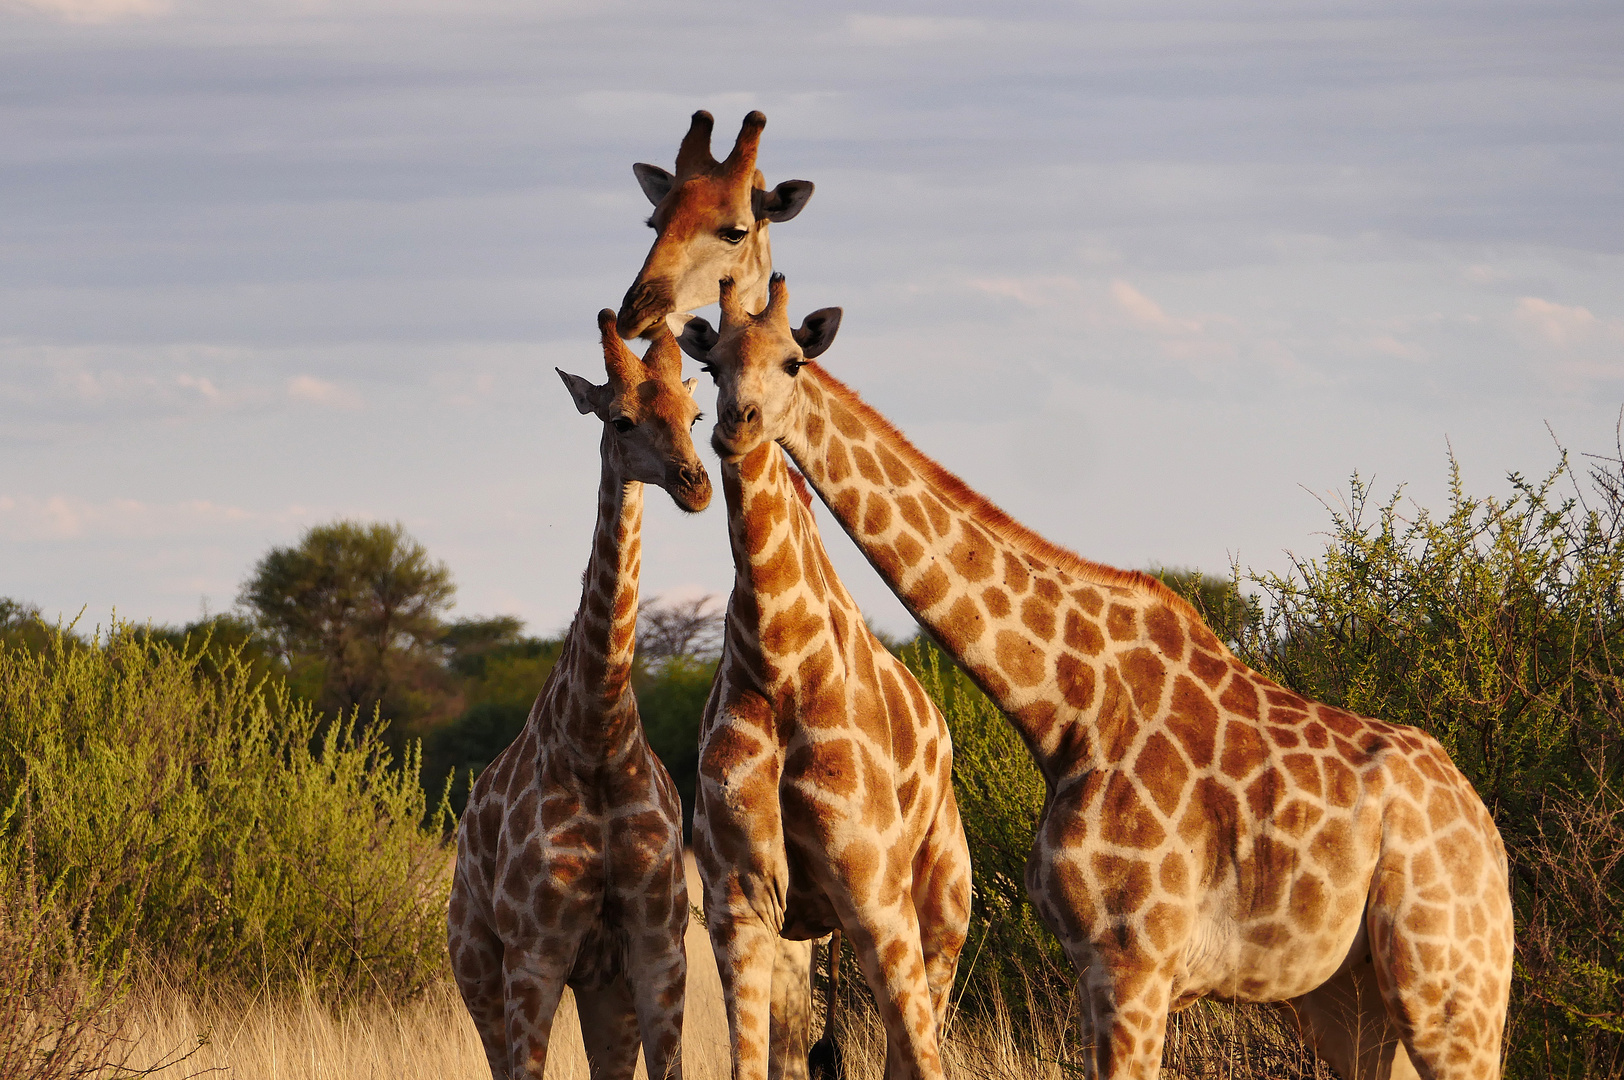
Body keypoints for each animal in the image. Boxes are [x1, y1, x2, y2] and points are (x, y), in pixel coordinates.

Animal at [454, 311, 714, 1078]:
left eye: (695, 414)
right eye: (622, 419)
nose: (695, 484)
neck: (596, 738)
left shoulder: (659, 949)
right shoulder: (535, 954)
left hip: (603, 990)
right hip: (475, 963)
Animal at [672, 274, 1507, 1071]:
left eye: (793, 360)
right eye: (711, 366)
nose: (735, 425)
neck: (1065, 704)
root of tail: (1486, 832)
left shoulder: (1135, 959)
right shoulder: (1093, 963)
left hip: (1450, 985)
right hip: (1352, 996)